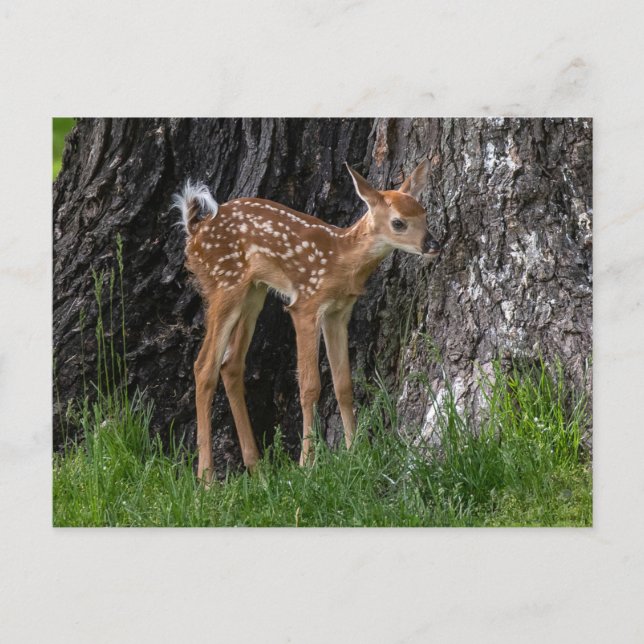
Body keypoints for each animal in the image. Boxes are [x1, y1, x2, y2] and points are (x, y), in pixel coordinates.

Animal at [173, 159, 440, 482]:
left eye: (424, 214)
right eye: (399, 222)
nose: (434, 244)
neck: (342, 259)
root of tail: (194, 231)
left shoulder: (338, 312)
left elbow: (343, 385)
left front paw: (355, 452)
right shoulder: (305, 305)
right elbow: (310, 386)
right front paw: (307, 464)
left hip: (254, 291)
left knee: (231, 365)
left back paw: (257, 469)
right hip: (224, 283)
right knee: (204, 367)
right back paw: (207, 479)